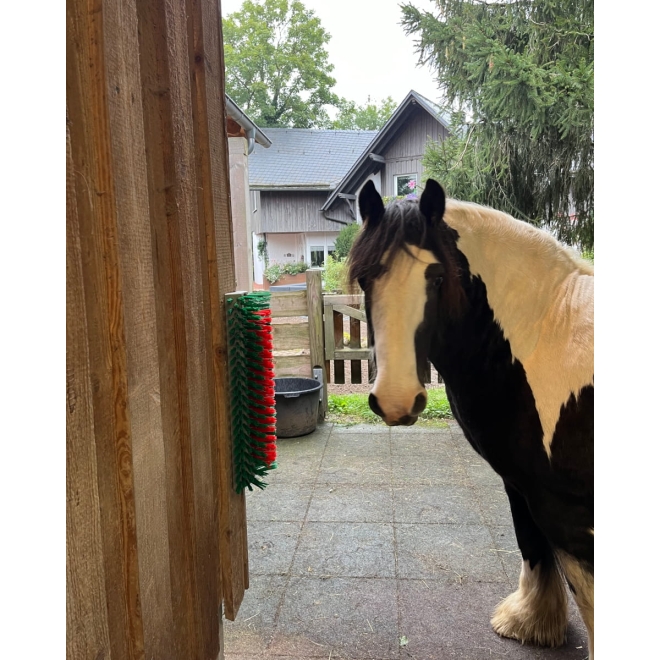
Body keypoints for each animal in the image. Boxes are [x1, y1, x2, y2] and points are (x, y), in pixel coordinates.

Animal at [348, 179, 594, 658]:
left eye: (437, 277)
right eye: (366, 278)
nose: (395, 400)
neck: (546, 333)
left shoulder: (569, 517)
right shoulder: (522, 486)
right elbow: (530, 543)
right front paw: (529, 621)